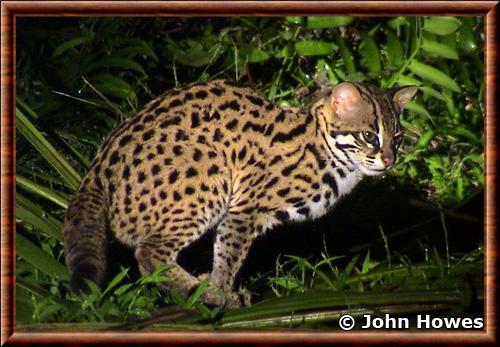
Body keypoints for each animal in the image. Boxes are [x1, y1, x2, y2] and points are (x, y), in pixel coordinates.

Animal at [63, 79, 418, 308]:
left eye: (397, 138)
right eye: (369, 136)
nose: (390, 160)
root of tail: (95, 172)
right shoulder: (246, 207)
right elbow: (229, 255)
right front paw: (221, 290)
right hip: (210, 171)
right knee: (149, 254)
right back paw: (199, 294)